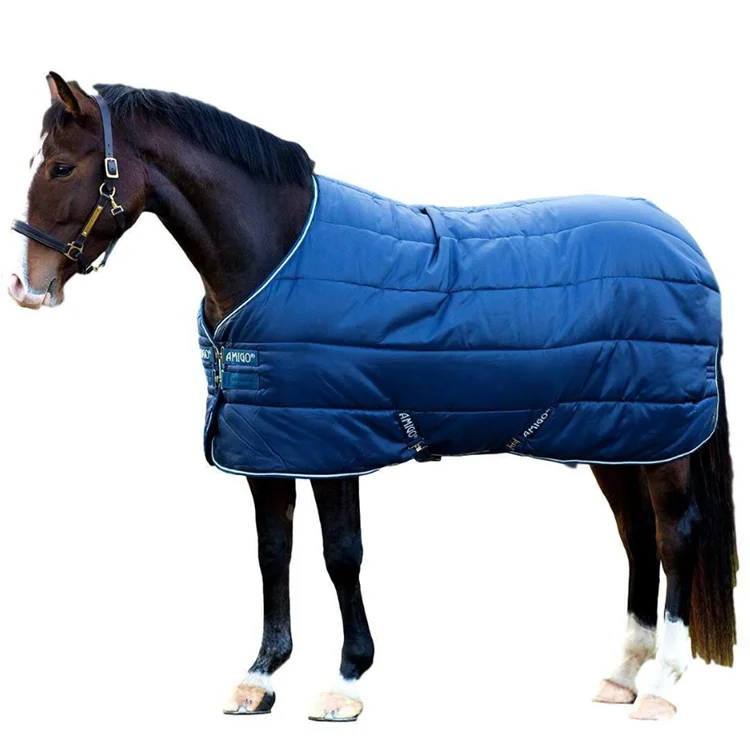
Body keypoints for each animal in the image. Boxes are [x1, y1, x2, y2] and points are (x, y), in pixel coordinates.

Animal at [7, 72, 737, 722]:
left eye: (64, 168)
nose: (24, 285)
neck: (275, 257)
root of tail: (685, 244)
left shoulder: (335, 445)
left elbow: (341, 556)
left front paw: (346, 681)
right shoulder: (268, 449)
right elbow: (273, 552)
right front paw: (259, 677)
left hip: (664, 444)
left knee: (674, 537)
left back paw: (662, 686)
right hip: (620, 437)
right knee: (637, 537)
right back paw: (622, 676)